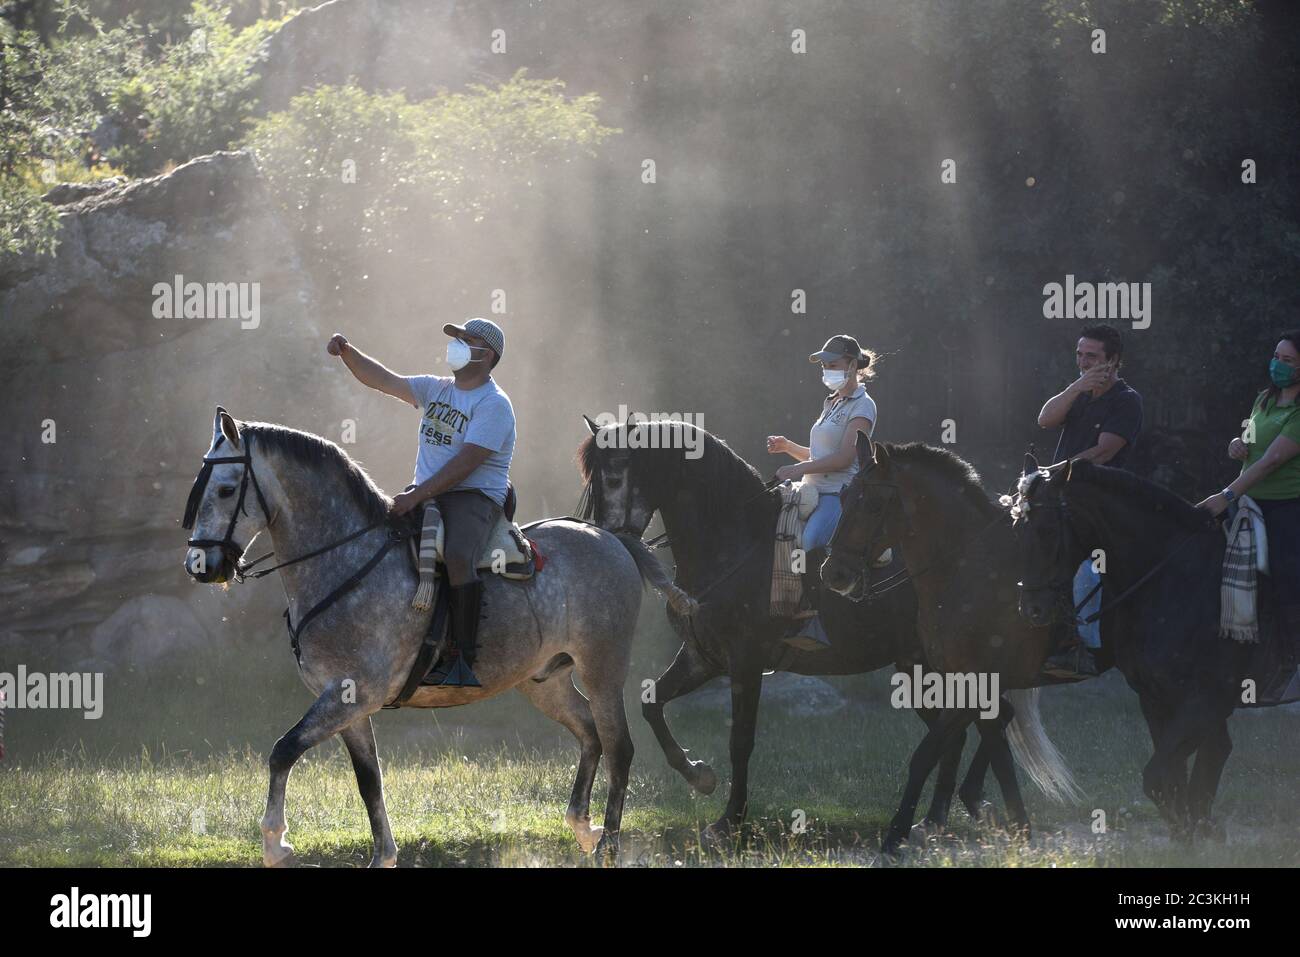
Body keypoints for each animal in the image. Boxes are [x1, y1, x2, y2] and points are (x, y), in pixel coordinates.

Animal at [185, 408, 691, 863]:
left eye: (226, 489)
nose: (199, 565)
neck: (347, 560)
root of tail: (610, 538)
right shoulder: (346, 704)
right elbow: (369, 780)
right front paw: (383, 856)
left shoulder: (351, 695)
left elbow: (282, 751)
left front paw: (276, 842)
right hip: (544, 682)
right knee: (589, 733)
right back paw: (583, 826)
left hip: (602, 668)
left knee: (618, 746)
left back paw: (608, 845)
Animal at [1013, 455, 1289, 837]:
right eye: (1017, 528)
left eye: (1048, 531)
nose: (1032, 610)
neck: (1176, 576)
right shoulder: (1158, 698)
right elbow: (1174, 782)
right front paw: (1193, 835)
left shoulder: (1206, 699)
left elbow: (1159, 777)